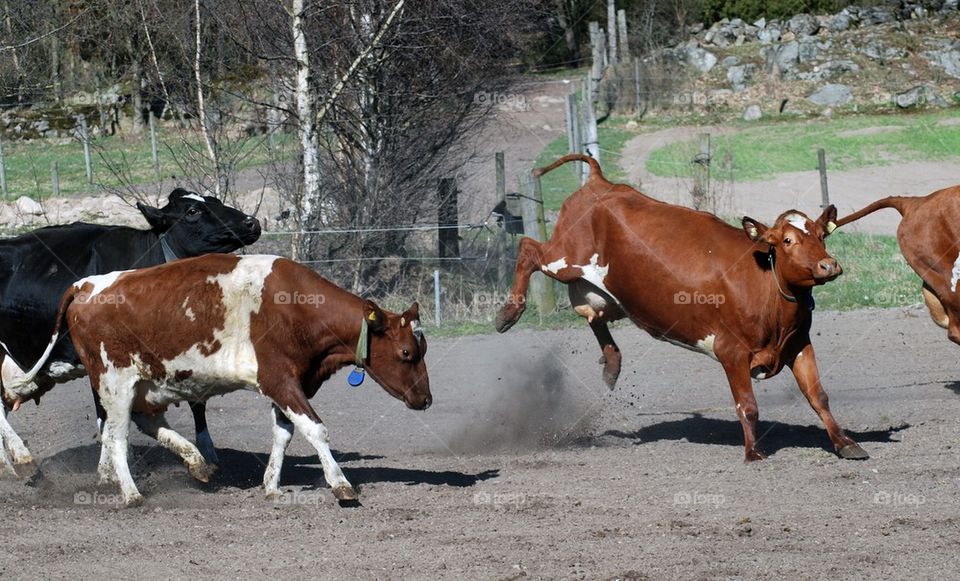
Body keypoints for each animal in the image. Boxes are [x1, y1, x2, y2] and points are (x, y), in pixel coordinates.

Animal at [0, 188, 261, 472]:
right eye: (192, 212)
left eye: (215, 201)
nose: (252, 222)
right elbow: (108, 416)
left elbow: (195, 402)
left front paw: (207, 452)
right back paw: (16, 458)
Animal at [1, 254, 431, 506]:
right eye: (407, 353)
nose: (426, 400)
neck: (296, 309)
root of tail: (86, 285)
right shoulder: (280, 380)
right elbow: (315, 429)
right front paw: (341, 485)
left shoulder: (290, 385)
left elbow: (283, 434)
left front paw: (271, 485)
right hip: (115, 382)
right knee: (116, 435)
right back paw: (131, 492)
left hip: (145, 384)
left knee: (145, 423)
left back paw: (197, 463)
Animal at [495, 154, 868, 462]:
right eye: (787, 240)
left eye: (821, 235)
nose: (828, 265)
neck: (765, 285)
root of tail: (599, 183)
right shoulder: (731, 351)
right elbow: (747, 405)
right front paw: (753, 452)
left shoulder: (799, 344)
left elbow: (818, 395)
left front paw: (845, 443)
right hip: (564, 257)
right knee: (528, 249)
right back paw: (508, 313)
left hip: (609, 290)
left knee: (594, 315)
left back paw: (612, 364)